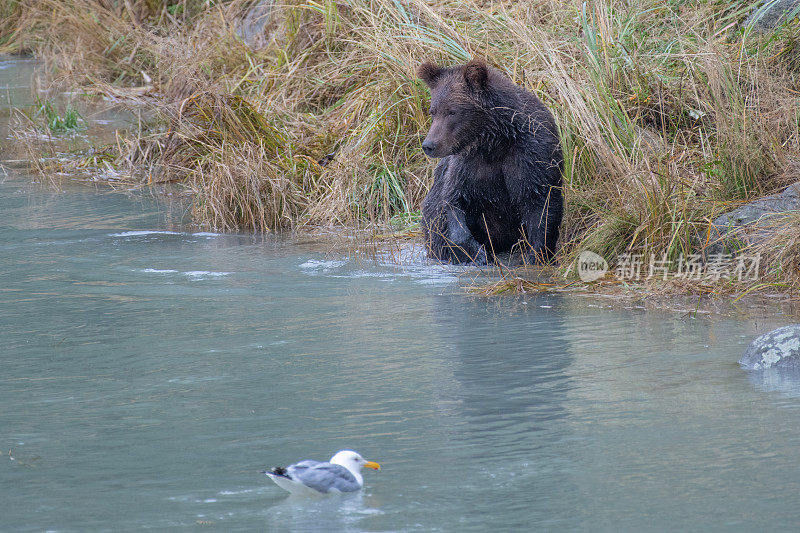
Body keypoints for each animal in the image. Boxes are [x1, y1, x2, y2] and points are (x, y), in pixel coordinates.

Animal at [418, 58, 564, 264]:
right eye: (433, 111)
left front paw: (536, 257)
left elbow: (540, 204)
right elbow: (453, 203)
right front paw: (479, 255)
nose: (429, 145)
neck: (494, 141)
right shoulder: (467, 168)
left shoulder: (531, 155)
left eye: (452, 111)